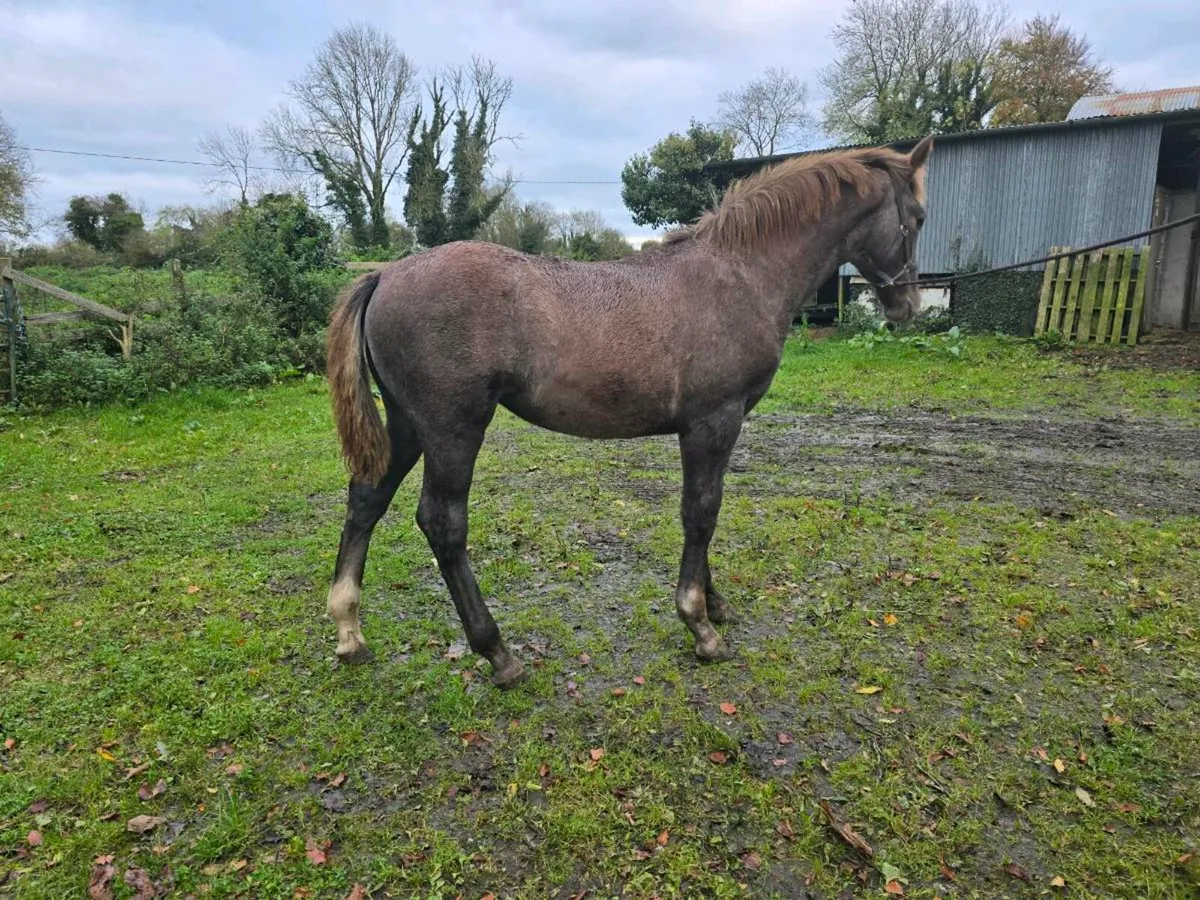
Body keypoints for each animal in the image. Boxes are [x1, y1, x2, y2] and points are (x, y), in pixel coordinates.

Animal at [323, 136, 933, 687]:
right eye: (920, 216)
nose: (908, 307)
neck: (737, 276)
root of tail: (386, 274)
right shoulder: (715, 422)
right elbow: (701, 512)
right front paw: (700, 626)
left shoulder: (710, 427)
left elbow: (704, 511)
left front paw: (715, 605)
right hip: (453, 429)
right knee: (442, 523)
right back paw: (498, 653)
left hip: (409, 424)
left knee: (367, 498)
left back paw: (350, 633)